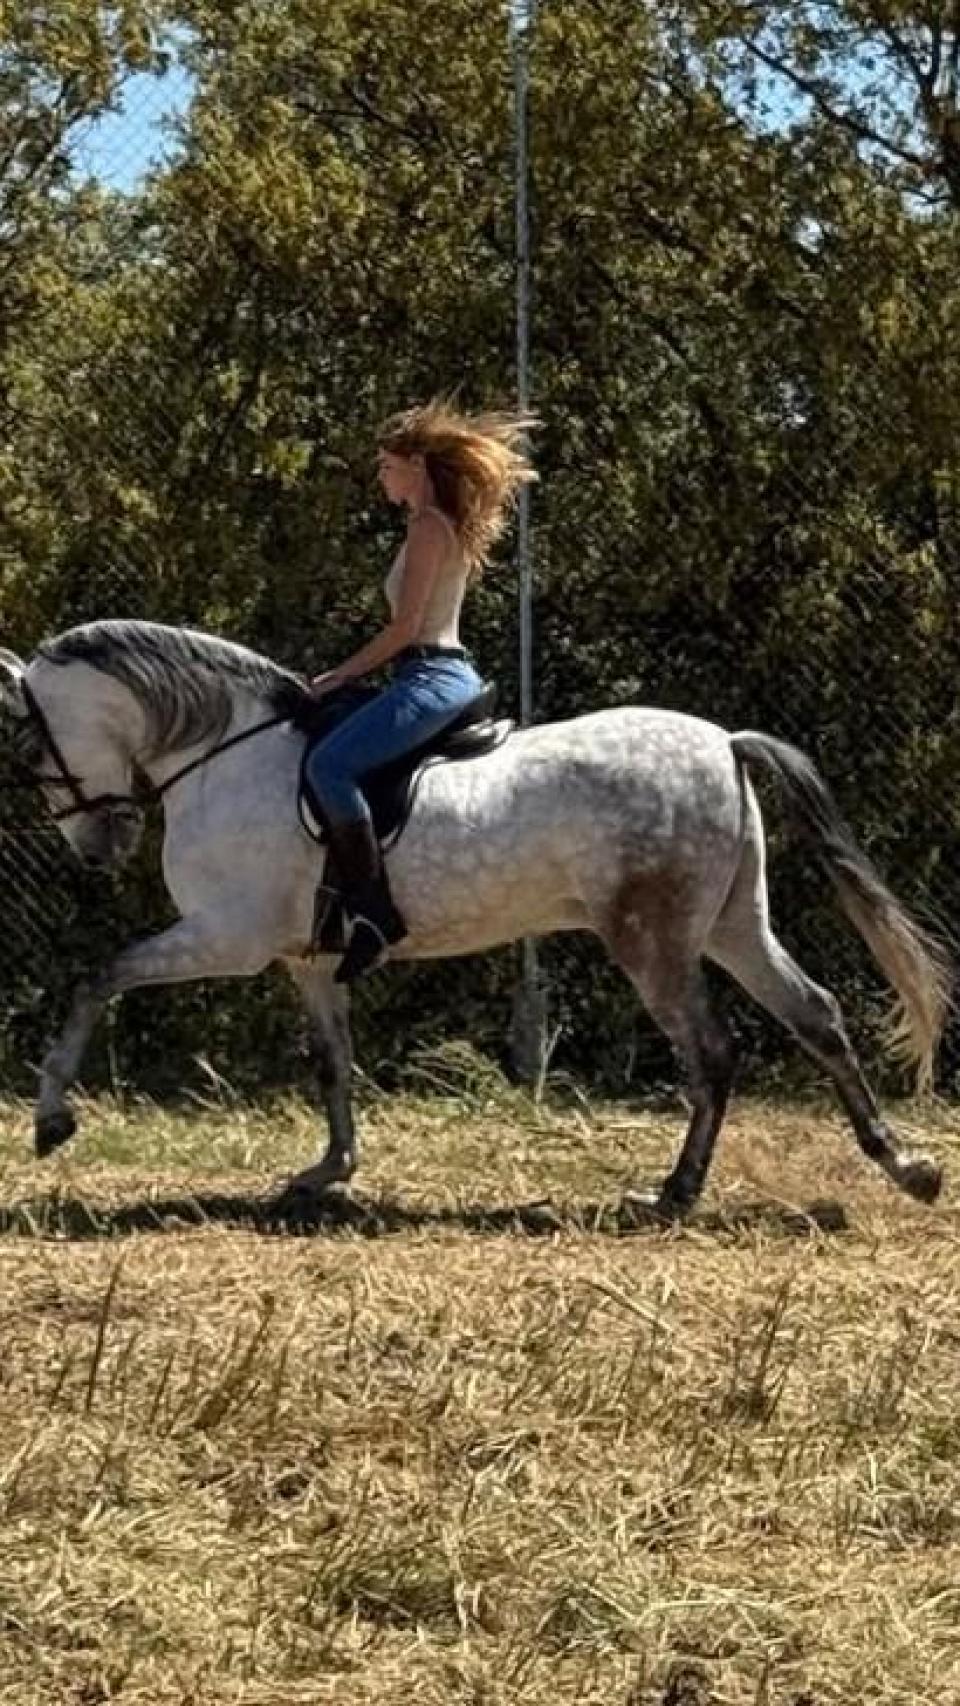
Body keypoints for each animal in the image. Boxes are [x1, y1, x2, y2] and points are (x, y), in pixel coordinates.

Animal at [0, 618, 951, 1217]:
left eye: (33, 746)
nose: (100, 844)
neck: (223, 754)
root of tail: (723, 741)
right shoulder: (308, 959)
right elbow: (332, 1060)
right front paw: (328, 1171)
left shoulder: (226, 938)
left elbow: (98, 977)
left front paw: (51, 1122)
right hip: (730, 925)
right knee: (815, 1015)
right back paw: (906, 1167)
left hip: (653, 941)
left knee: (713, 1053)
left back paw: (674, 1193)